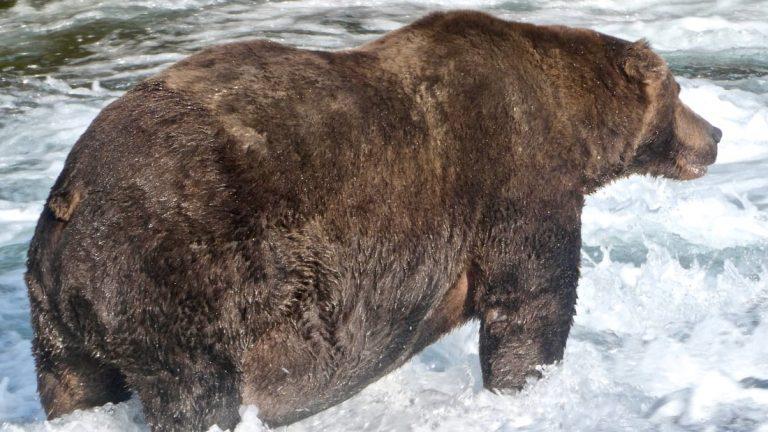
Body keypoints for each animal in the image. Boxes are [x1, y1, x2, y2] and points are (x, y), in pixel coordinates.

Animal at [25, 10, 721, 432]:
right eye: (681, 93)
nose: (714, 135)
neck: (574, 129)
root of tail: (71, 196)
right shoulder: (516, 178)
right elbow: (531, 303)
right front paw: (529, 387)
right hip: (178, 274)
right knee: (198, 391)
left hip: (60, 316)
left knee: (75, 386)